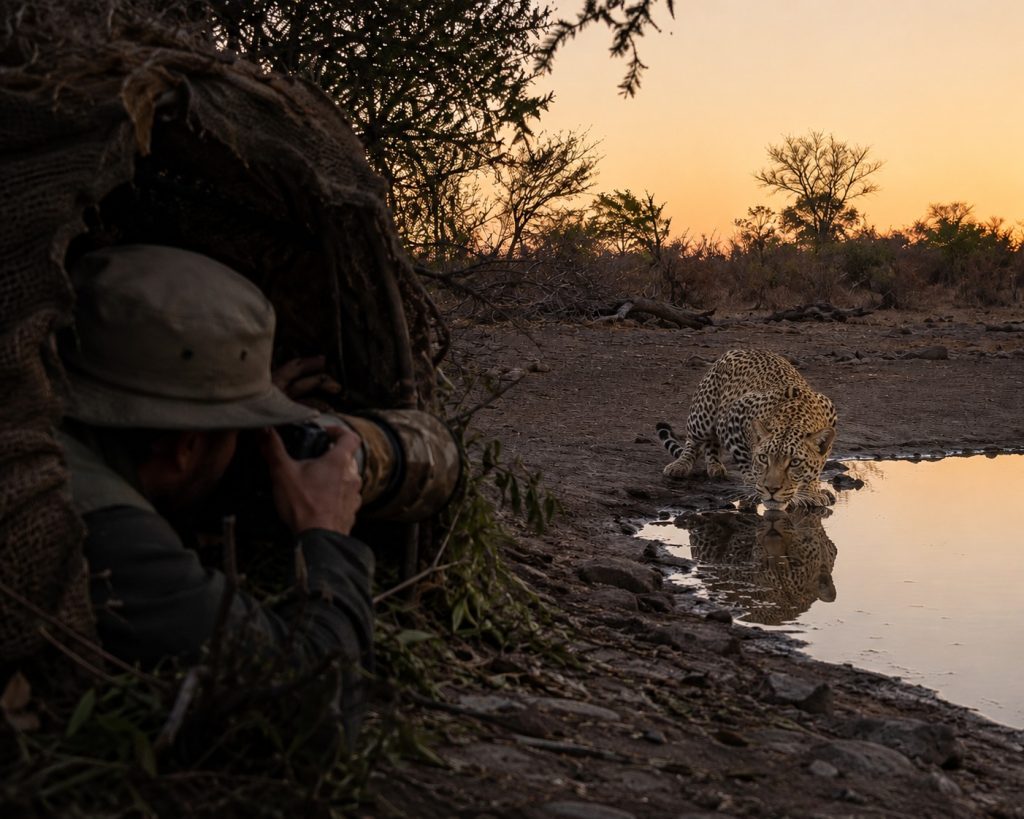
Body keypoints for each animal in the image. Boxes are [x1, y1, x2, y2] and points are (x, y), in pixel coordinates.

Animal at [656, 349, 837, 510]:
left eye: (795, 462)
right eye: (764, 458)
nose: (771, 490)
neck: (792, 418)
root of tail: (738, 349)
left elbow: (817, 468)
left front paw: (810, 492)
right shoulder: (733, 418)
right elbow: (746, 460)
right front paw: (754, 485)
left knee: (711, 444)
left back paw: (715, 466)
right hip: (703, 414)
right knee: (693, 441)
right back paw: (679, 465)